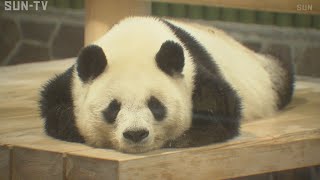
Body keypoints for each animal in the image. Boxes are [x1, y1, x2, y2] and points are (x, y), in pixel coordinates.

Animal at [38, 16, 294, 153]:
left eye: (156, 105)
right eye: (113, 108)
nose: (136, 134)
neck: (134, 40)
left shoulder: (192, 72)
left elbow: (224, 106)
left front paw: (184, 138)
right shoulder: (73, 80)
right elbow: (52, 103)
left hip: (270, 77)